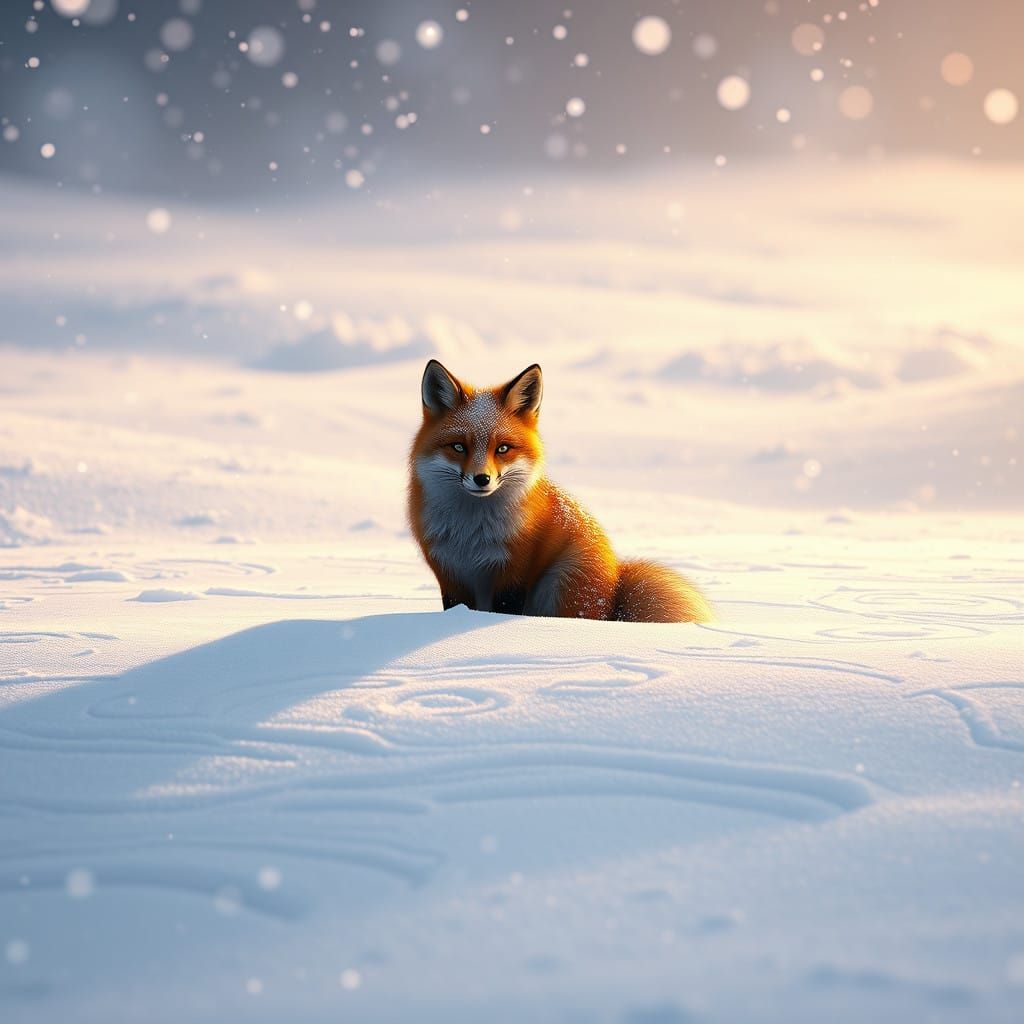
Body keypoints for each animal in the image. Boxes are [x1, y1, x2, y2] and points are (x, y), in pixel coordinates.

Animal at [407, 360, 711, 623]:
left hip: (561, 583)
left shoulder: (513, 573)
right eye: (458, 447)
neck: (471, 535)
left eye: (503, 448)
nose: (482, 479)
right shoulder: (449, 574)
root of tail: (616, 586)